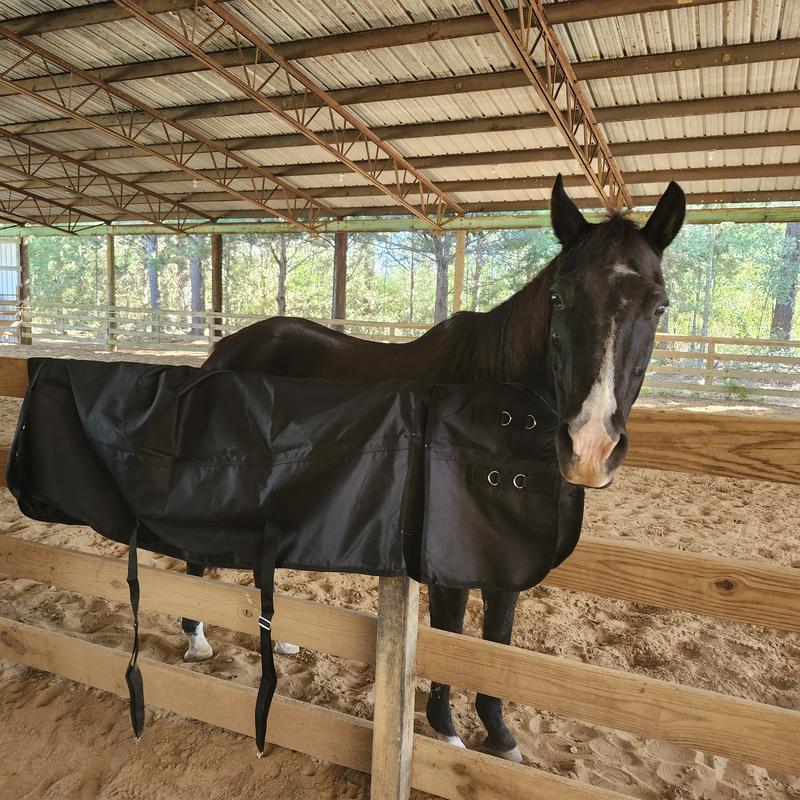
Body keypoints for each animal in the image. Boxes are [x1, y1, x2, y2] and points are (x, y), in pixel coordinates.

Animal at [179, 175, 685, 763]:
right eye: (560, 297)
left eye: (659, 306)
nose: (589, 444)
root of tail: (226, 350)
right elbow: (449, 638)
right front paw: (447, 731)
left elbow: (496, 641)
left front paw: (500, 736)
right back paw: (197, 638)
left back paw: (280, 636)